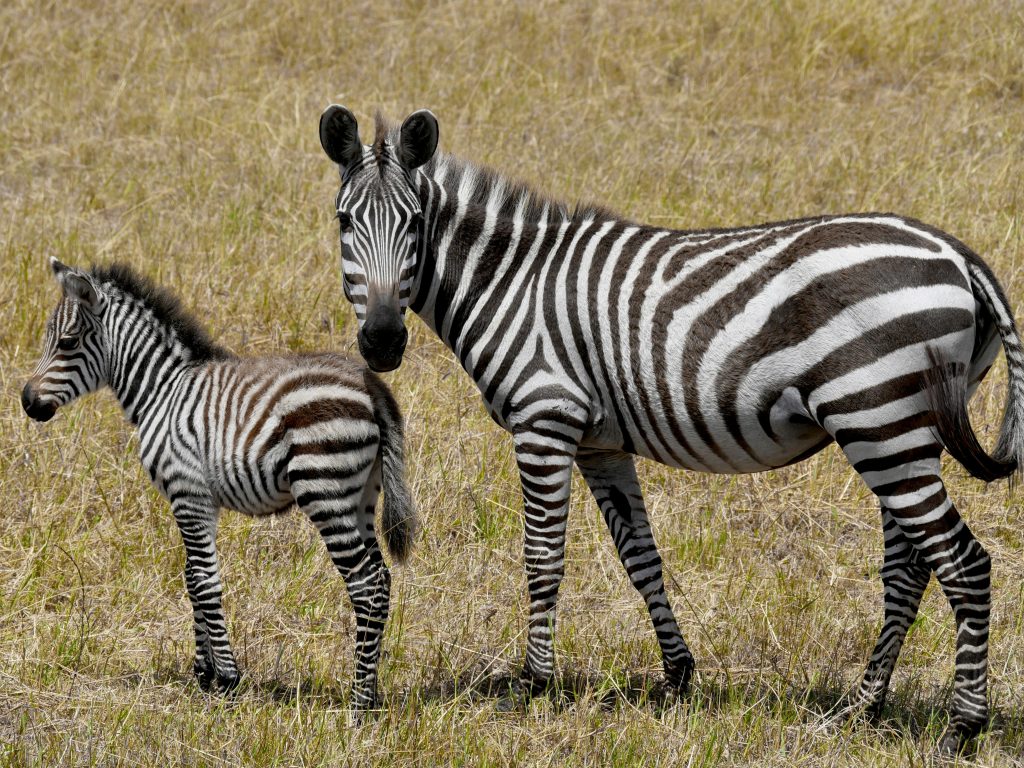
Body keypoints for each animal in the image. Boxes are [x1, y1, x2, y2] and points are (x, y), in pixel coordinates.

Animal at [21, 258, 416, 713]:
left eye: (67, 343)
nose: (26, 402)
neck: (162, 391)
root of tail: (374, 388)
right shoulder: (197, 502)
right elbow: (192, 579)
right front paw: (203, 673)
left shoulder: (187, 493)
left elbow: (205, 582)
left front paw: (227, 678)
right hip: (361, 496)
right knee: (381, 579)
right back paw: (370, 693)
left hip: (325, 490)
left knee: (366, 585)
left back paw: (358, 702)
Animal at [318, 105, 1023, 752]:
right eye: (344, 221)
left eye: (414, 223)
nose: (381, 342)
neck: (511, 282)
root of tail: (958, 254)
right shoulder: (601, 444)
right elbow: (641, 557)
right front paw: (678, 675)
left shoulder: (545, 418)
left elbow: (543, 557)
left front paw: (533, 687)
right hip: (896, 428)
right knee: (910, 568)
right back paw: (860, 708)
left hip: (878, 418)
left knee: (963, 562)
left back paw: (963, 727)